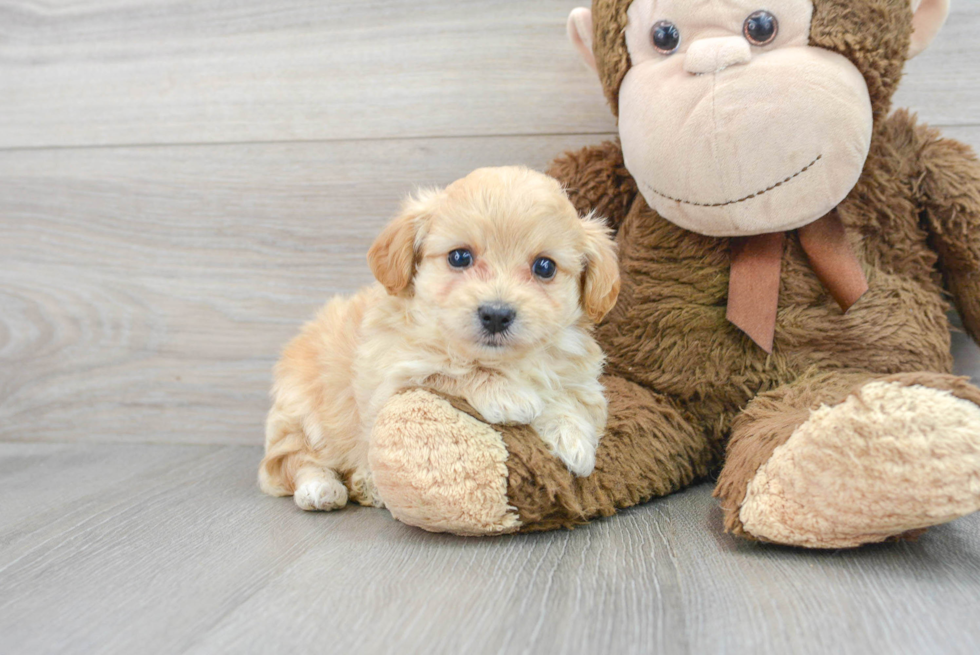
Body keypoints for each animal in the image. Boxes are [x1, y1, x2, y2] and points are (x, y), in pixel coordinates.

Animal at [256, 165, 616, 512]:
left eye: (545, 267)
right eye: (459, 257)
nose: (496, 314)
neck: (505, 360)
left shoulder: (581, 380)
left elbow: (570, 401)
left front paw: (573, 439)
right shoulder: (394, 373)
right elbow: (450, 370)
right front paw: (508, 395)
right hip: (303, 415)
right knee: (290, 461)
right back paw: (322, 488)